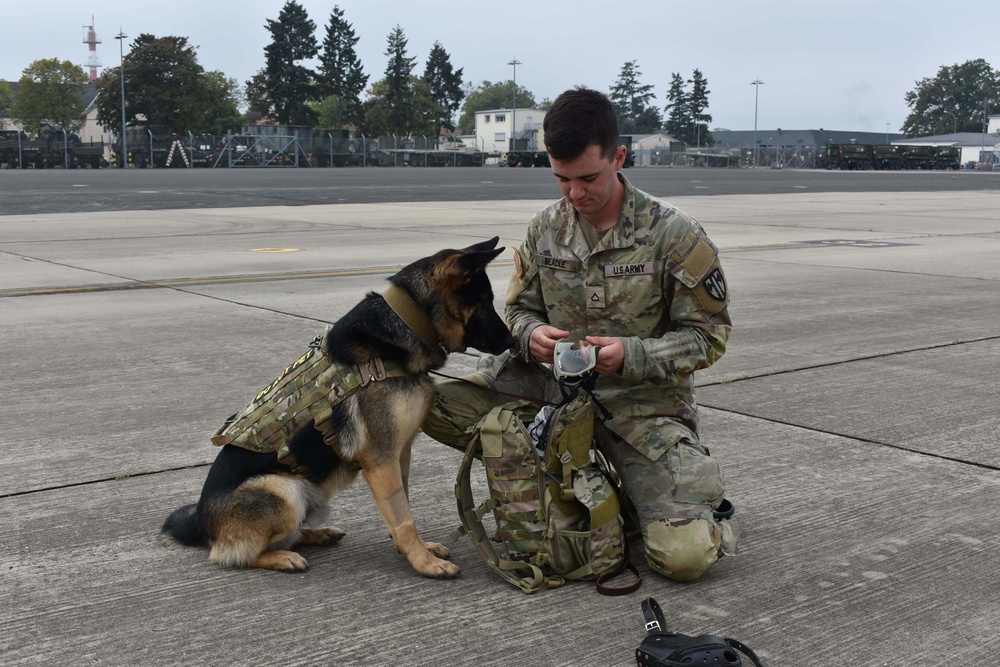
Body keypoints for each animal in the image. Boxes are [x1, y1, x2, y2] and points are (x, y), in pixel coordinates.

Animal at [162, 240, 516, 580]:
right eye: (485, 300)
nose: (513, 341)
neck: (407, 323)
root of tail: (200, 521)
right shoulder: (381, 460)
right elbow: (403, 518)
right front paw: (424, 563)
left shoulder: (400, 453)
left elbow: (402, 505)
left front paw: (418, 549)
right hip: (283, 489)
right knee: (232, 553)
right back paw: (284, 557)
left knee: (287, 534)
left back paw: (317, 534)